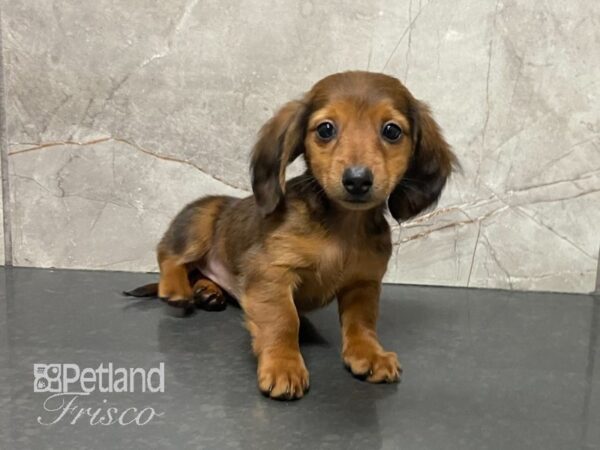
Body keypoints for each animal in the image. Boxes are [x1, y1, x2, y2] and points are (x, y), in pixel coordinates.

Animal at [125, 71, 454, 400]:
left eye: (392, 131)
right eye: (325, 129)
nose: (357, 180)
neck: (342, 228)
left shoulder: (363, 282)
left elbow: (362, 322)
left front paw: (370, 354)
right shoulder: (271, 271)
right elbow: (284, 319)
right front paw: (283, 365)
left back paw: (208, 290)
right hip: (202, 219)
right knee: (168, 254)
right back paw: (176, 289)